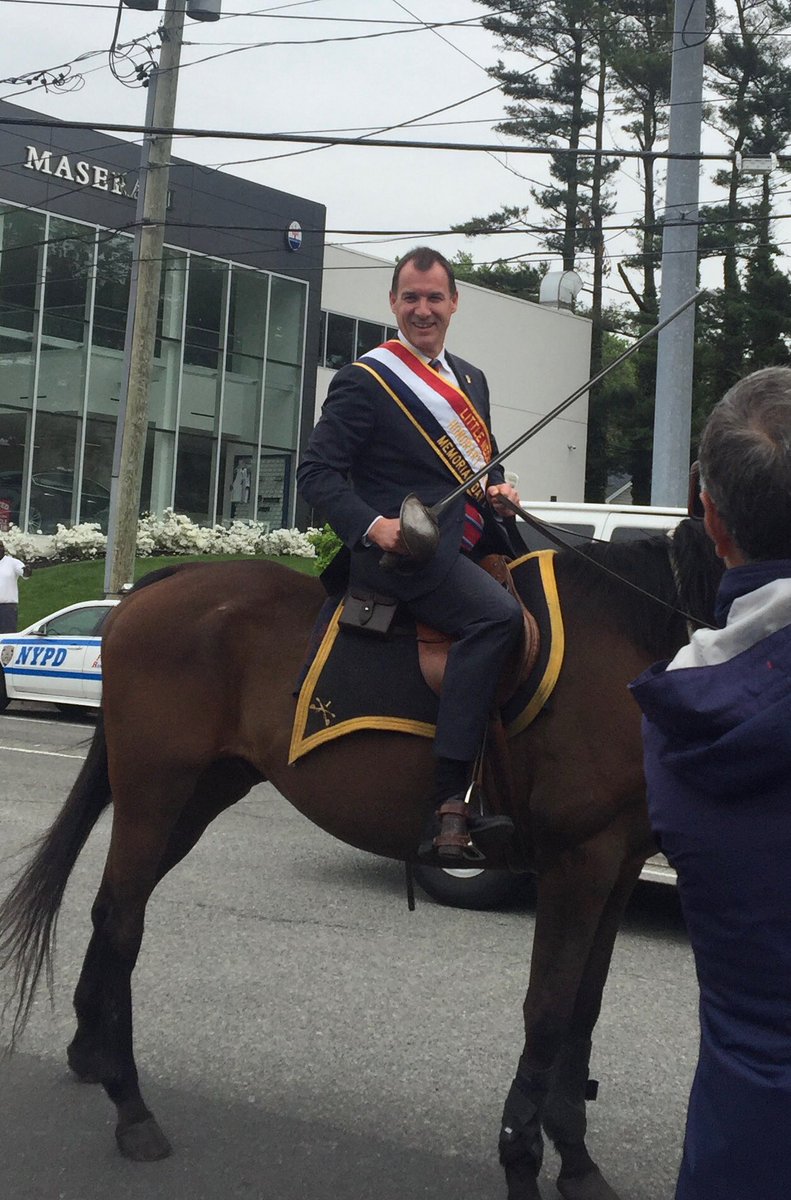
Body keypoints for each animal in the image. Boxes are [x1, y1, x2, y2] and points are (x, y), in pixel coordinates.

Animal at [0, 518, 721, 1200]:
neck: (634, 632)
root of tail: (158, 585)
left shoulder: (617, 863)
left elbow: (584, 1009)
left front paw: (576, 1164)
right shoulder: (578, 862)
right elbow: (548, 1011)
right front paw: (524, 1160)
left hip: (201, 792)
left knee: (112, 907)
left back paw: (91, 1051)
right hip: (155, 787)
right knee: (124, 919)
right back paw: (131, 1107)